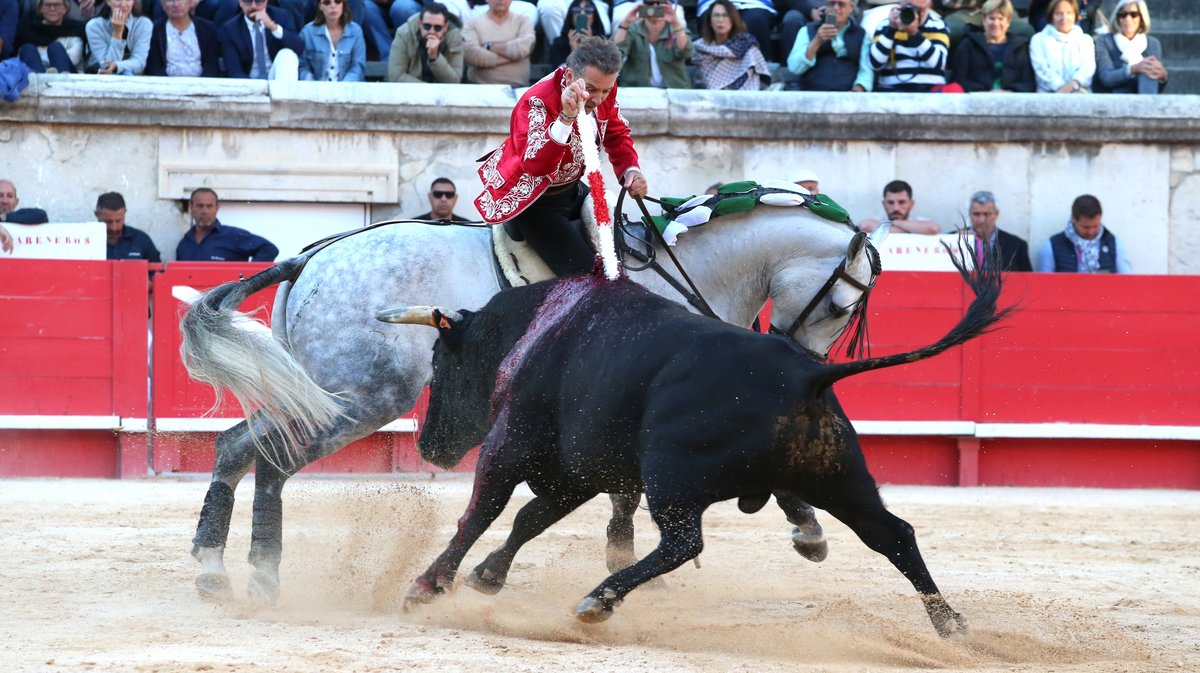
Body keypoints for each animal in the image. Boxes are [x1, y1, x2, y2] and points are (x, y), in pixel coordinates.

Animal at [182, 196, 888, 599]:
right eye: (843, 303)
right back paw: (252, 572)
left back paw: (223, 570)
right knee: (270, 457)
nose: (808, 364)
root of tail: (310, 259)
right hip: (363, 395)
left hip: (317, 389)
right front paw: (809, 532)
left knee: (239, 448)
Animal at [379, 251, 1008, 633]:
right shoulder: (582, 471)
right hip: (839, 477)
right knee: (893, 534)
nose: (429, 447)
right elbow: (529, 519)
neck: (535, 329)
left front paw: (427, 586)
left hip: (672, 474)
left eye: (440, 362)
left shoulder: (511, 446)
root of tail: (809, 372)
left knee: (684, 542)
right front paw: (487, 577)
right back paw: (950, 624)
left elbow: (482, 511)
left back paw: (599, 599)